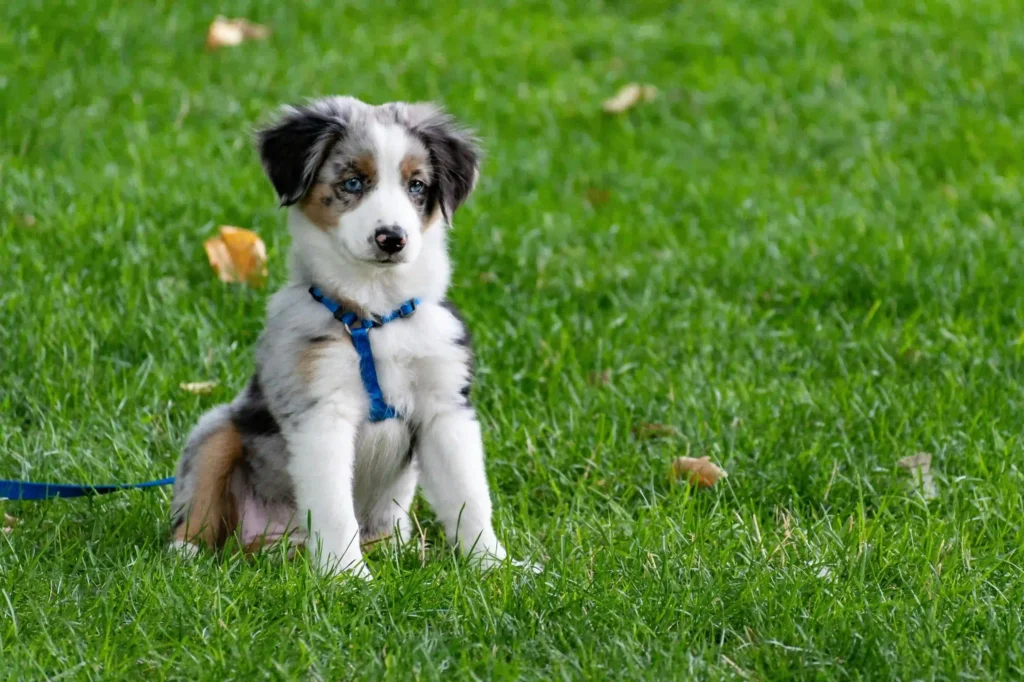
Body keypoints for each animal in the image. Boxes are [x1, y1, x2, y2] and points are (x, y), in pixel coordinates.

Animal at [166, 96, 528, 573]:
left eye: (417, 186)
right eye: (353, 182)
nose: (392, 238)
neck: (376, 313)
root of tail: (274, 543)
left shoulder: (445, 408)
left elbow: (469, 497)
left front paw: (494, 567)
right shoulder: (321, 412)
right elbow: (335, 508)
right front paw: (348, 577)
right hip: (217, 428)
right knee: (200, 503)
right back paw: (185, 554)